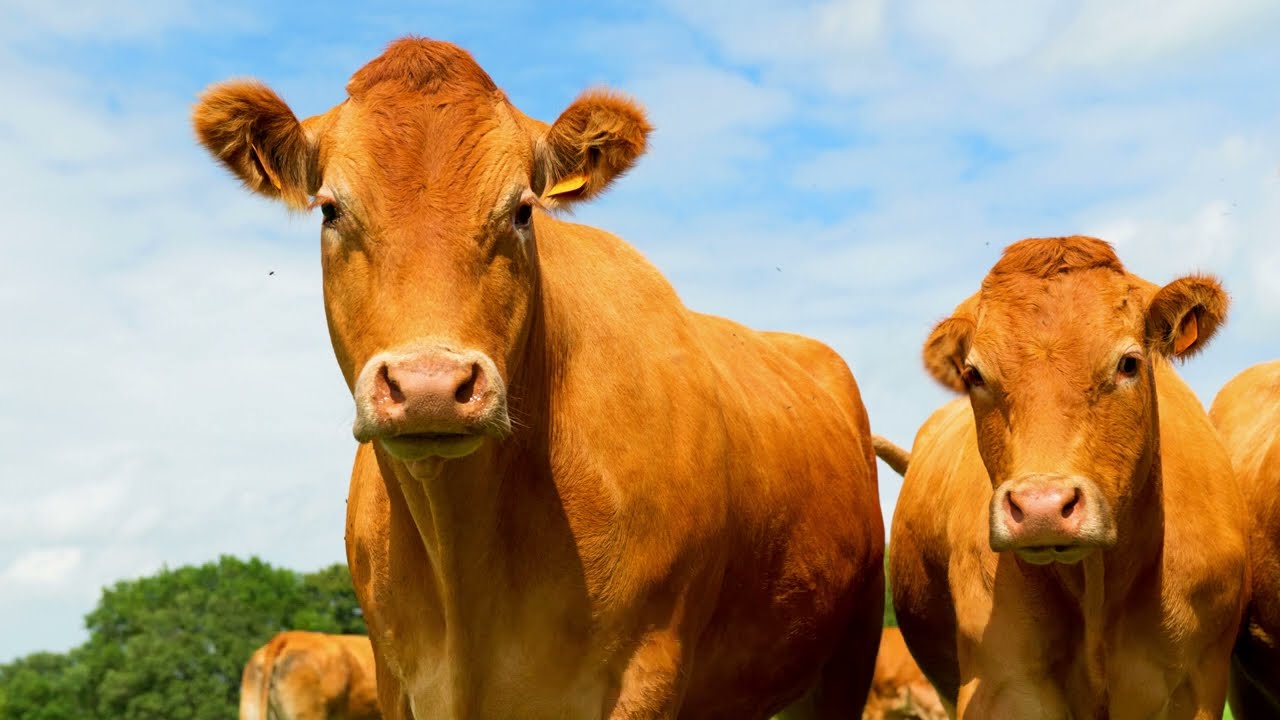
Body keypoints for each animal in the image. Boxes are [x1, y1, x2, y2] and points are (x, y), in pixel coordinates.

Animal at [874, 236, 1248, 718]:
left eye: (1129, 363)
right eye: (974, 375)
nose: (1042, 508)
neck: (1097, 590)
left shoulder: (1192, 686)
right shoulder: (1002, 684)